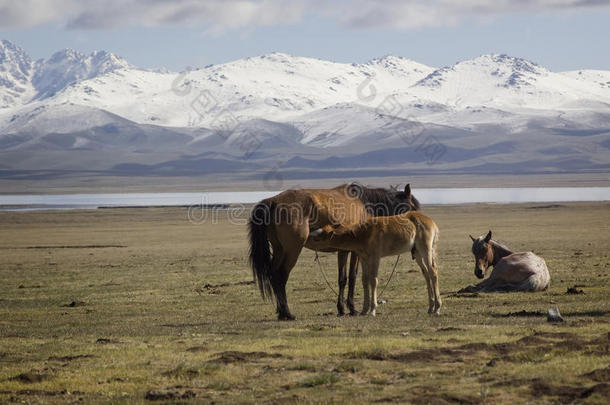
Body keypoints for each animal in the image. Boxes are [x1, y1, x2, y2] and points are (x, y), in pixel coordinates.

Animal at [247, 182, 418, 318]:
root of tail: (273, 201)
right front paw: (352, 309)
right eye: (413, 207)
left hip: (279, 249)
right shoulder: (356, 252)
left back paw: (281, 312)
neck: (365, 205)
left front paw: (341, 309)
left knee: (273, 274)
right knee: (281, 275)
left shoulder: (343, 251)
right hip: (292, 250)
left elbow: (342, 279)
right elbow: (352, 277)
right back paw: (287, 314)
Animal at [308, 210, 436, 318]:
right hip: (417, 252)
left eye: (317, 239)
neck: (363, 233)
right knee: (427, 274)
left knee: (433, 272)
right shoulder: (364, 258)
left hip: (426, 250)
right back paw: (431, 307)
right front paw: (364, 310)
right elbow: (365, 280)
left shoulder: (375, 257)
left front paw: (372, 309)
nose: (308, 238)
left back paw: (437, 308)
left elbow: (373, 280)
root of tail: (432, 223)